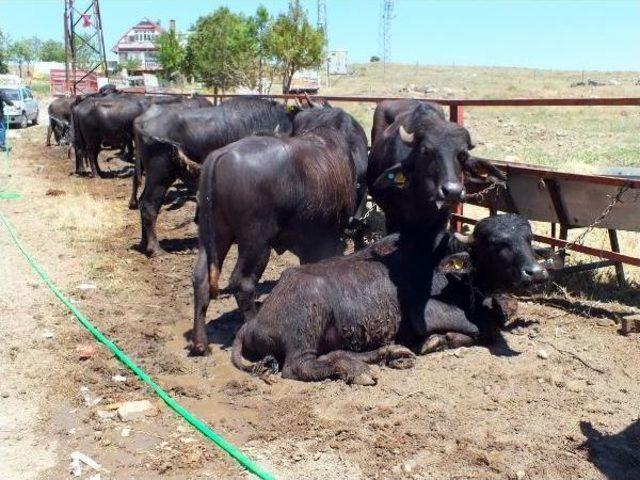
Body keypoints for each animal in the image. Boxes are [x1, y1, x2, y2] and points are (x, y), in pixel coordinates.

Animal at [134, 95, 298, 256]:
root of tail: (142, 120)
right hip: (160, 176)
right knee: (149, 206)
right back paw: (155, 249)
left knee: (141, 202)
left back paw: (143, 244)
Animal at [191, 105, 370, 354]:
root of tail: (219, 157)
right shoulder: (327, 240)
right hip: (256, 243)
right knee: (243, 283)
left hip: (215, 237)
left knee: (201, 278)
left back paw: (200, 343)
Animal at [232, 213, 548, 382]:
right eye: (496, 244)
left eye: (528, 239)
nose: (534, 273)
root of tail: (253, 322)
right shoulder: (427, 314)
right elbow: (486, 327)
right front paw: (437, 340)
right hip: (307, 325)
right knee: (298, 366)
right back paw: (357, 369)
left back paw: (389, 354)